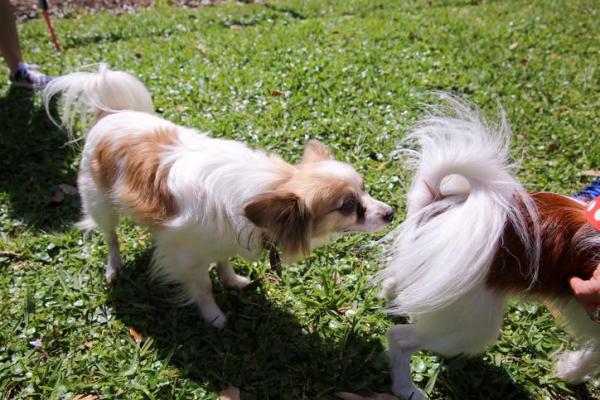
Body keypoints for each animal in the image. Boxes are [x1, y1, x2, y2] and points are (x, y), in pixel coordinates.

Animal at [44, 65, 396, 328]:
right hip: (101, 205)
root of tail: (110, 115)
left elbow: (223, 260)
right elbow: (203, 286)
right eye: (348, 207)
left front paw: (233, 280)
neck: (271, 183)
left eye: (365, 188)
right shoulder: (187, 255)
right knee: (112, 237)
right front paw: (214, 316)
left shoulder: (222, 235)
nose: (391, 212)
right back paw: (114, 267)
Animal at [380, 95, 600, 398]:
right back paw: (406, 388)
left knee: (395, 282)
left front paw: (571, 371)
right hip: (470, 326)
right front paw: (571, 372)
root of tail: (447, 205)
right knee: (399, 338)